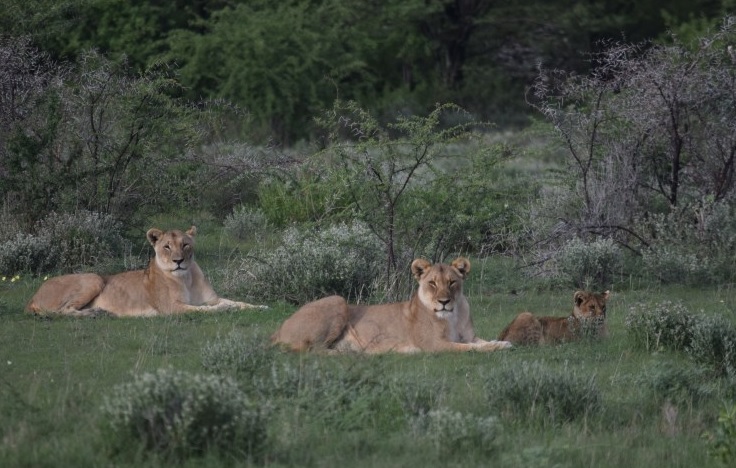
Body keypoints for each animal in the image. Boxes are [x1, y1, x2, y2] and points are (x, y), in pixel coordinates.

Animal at [26, 226, 265, 317]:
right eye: (167, 246)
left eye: (185, 245)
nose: (178, 261)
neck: (186, 278)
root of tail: (33, 296)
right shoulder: (171, 308)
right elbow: (204, 310)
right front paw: (224, 310)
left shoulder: (211, 298)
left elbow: (237, 302)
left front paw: (260, 306)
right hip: (93, 278)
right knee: (60, 311)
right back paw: (95, 313)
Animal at [271, 257, 512, 353]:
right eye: (432, 283)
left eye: (452, 282)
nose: (444, 302)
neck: (452, 316)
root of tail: (278, 329)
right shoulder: (434, 345)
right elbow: (470, 347)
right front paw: (497, 347)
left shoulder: (468, 335)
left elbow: (482, 341)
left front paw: (502, 342)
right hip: (337, 299)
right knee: (311, 351)